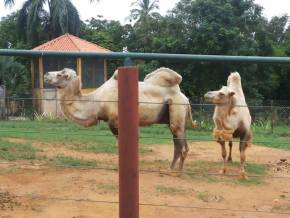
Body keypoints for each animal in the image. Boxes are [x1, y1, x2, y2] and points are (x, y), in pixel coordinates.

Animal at [43, 67, 197, 169]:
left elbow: (121, 144)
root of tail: (184, 97)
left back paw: (173, 169)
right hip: (177, 114)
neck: (96, 103)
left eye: (61, 74)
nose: (46, 74)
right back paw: (177, 168)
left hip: (176, 108)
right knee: (182, 140)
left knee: (178, 141)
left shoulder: (115, 122)